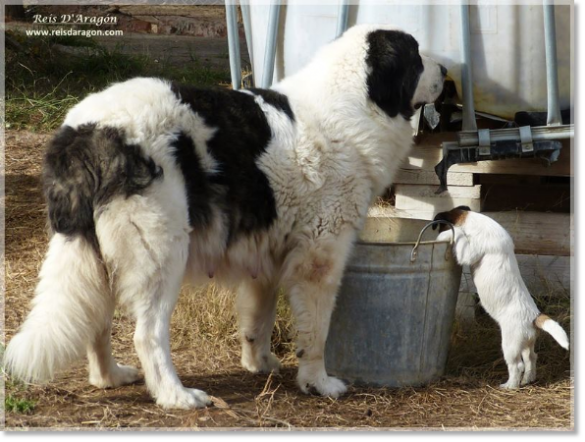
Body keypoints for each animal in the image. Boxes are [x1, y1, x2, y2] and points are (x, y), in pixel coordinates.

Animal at [4, 25, 444, 410]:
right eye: (416, 56)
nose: (445, 71)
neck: (355, 104)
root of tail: (88, 130)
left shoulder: (269, 251)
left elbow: (258, 316)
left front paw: (258, 363)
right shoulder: (320, 258)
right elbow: (316, 331)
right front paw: (318, 382)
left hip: (100, 256)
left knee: (98, 320)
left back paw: (109, 377)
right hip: (161, 252)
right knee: (148, 334)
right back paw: (176, 396)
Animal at [432, 205, 568, 388]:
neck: (475, 221)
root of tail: (534, 316)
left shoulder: (468, 252)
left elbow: (458, 234)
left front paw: (446, 235)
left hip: (510, 344)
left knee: (517, 365)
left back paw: (510, 386)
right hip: (526, 343)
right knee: (531, 358)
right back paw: (528, 379)